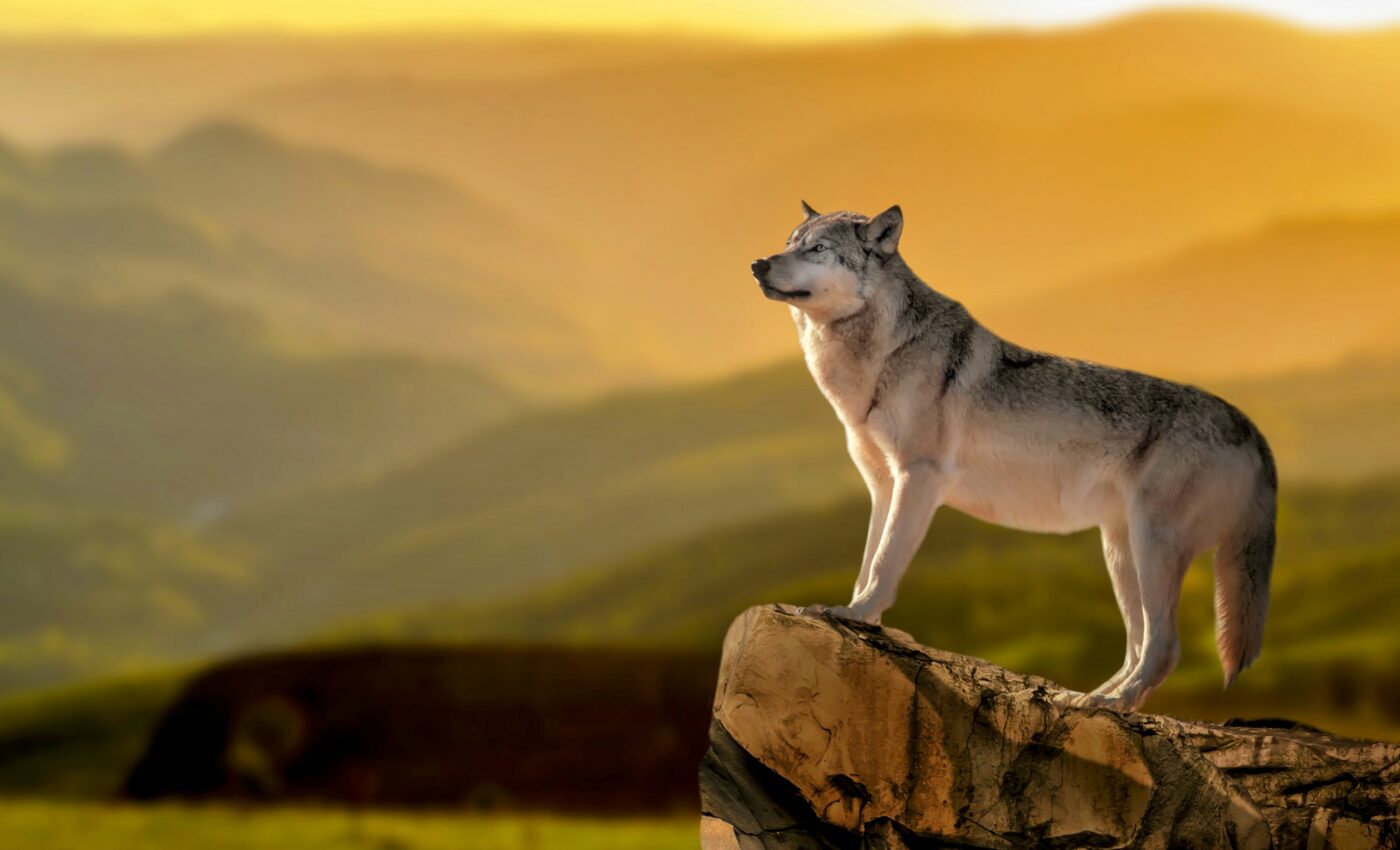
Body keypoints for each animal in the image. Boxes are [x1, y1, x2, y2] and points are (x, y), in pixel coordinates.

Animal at [751, 202, 1277, 711]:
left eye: (818, 249)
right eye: (789, 243)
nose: (757, 264)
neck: (880, 355)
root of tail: (1252, 428)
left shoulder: (918, 478)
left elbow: (883, 564)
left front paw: (857, 615)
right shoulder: (883, 487)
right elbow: (867, 562)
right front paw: (858, 615)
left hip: (1153, 547)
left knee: (1164, 645)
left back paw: (1111, 705)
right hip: (1120, 552)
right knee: (1137, 645)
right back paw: (1088, 698)